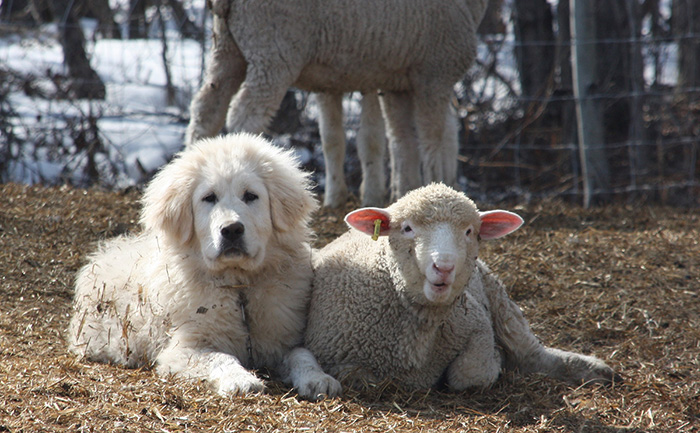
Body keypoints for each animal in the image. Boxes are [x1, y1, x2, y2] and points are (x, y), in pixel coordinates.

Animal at [67, 133, 340, 400]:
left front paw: (319, 379)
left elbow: (302, 354)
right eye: (209, 198)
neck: (238, 288)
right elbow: (219, 357)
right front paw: (241, 380)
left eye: (250, 196)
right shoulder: (185, 347)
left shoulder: (281, 339)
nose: (232, 230)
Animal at [189, 0, 490, 202]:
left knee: (206, 109)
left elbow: (402, 141)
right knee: (245, 115)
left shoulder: (398, 82)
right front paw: (435, 185)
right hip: (273, 50)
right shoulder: (434, 74)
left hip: (227, 48)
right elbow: (431, 141)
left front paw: (406, 193)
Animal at [306, 182, 616, 388]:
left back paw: (596, 370)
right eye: (406, 228)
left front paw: (494, 361)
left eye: (469, 232)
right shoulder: (336, 355)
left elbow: (469, 374)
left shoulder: (478, 326)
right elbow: (359, 376)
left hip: (502, 306)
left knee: (534, 356)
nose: (443, 267)